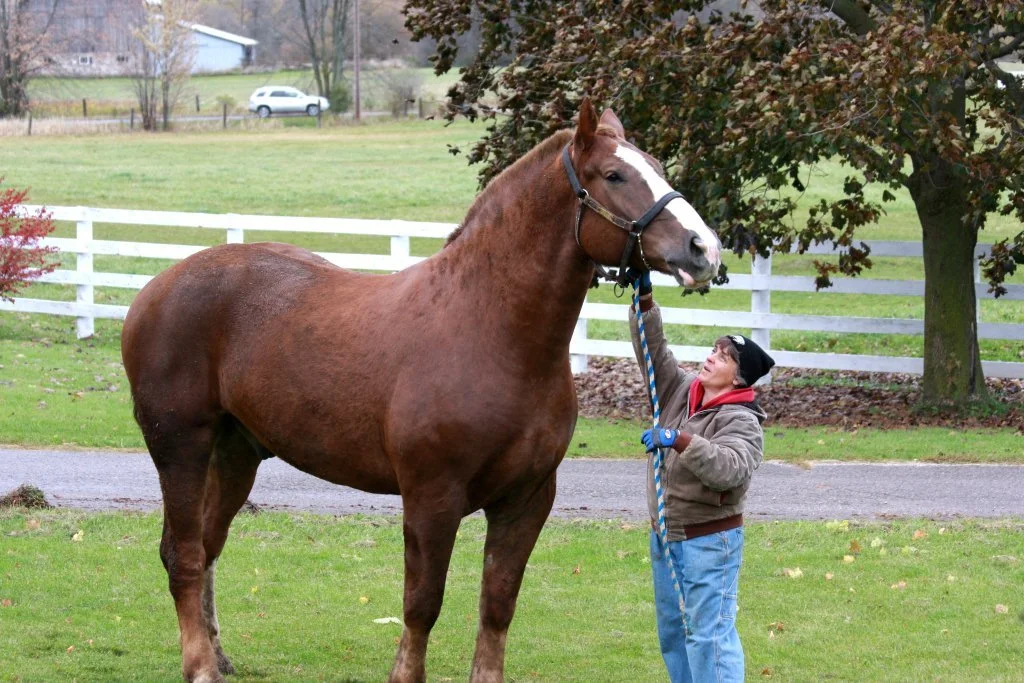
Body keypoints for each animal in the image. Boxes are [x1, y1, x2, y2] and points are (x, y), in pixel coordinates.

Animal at [120, 97, 721, 683]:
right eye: (614, 175)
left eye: (659, 167)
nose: (704, 249)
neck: (491, 331)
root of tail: (154, 290)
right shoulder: (433, 498)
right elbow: (422, 604)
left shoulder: (528, 500)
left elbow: (497, 603)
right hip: (181, 449)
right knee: (184, 555)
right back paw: (201, 667)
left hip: (235, 453)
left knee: (207, 545)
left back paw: (219, 655)